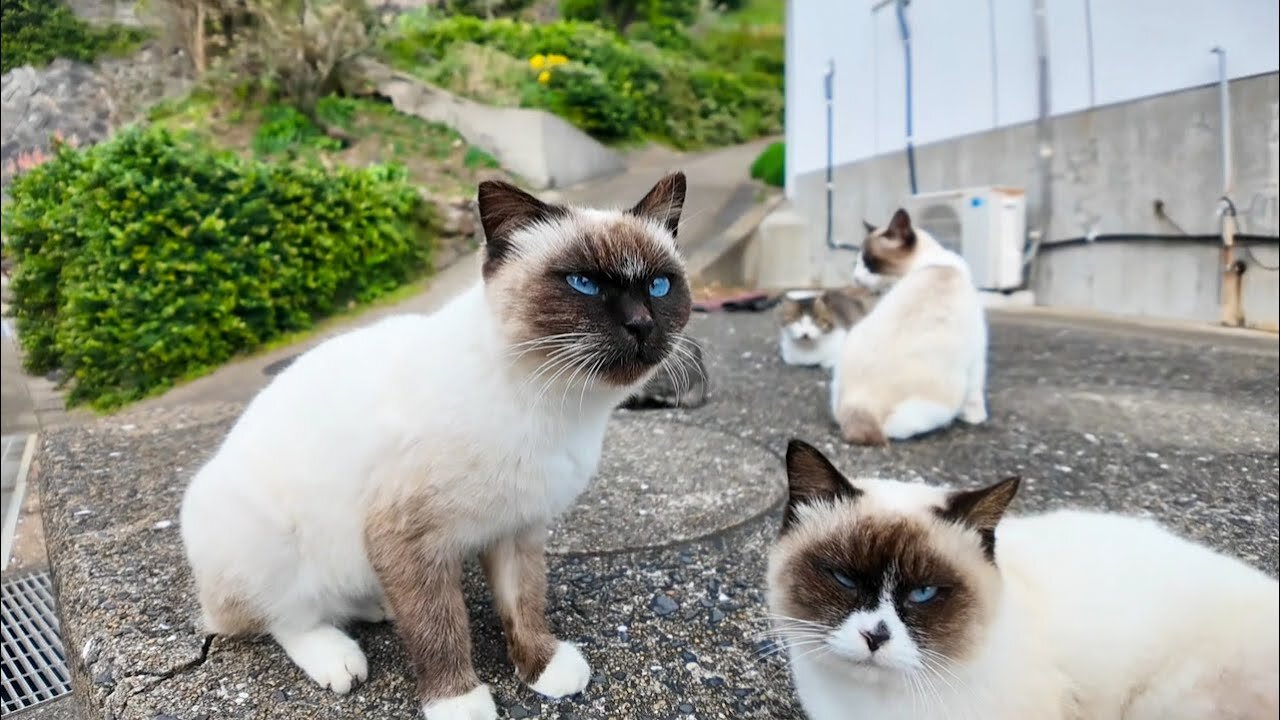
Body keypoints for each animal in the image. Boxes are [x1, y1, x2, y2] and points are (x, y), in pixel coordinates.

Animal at [180, 170, 691, 712]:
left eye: (659, 285)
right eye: (584, 284)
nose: (641, 324)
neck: (556, 406)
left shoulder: (518, 526)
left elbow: (524, 604)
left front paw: (542, 668)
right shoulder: (410, 539)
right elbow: (438, 628)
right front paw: (459, 703)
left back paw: (376, 605)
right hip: (264, 541)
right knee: (286, 616)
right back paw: (338, 658)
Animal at [829, 207, 988, 443]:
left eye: (870, 263)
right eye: (858, 263)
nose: (856, 278)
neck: (933, 263)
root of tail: (858, 404)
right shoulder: (977, 352)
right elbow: (976, 392)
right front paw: (977, 418)